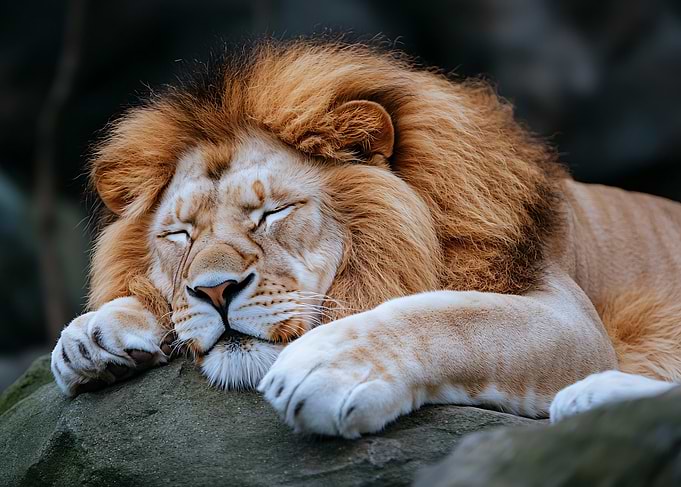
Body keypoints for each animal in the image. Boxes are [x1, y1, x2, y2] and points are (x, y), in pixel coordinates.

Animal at [51, 39, 681, 437]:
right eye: (180, 234)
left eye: (273, 212)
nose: (215, 291)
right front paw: (92, 336)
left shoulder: (569, 317)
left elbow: (450, 316)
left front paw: (327, 366)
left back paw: (590, 397)